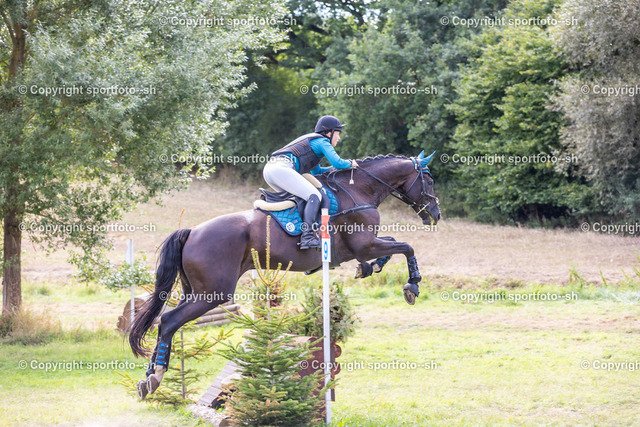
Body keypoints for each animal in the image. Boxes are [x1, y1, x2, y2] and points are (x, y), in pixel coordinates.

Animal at [129, 150, 441, 398]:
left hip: (195, 291)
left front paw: (370, 267)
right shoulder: (364, 245)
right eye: (429, 180)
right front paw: (412, 286)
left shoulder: (363, 247)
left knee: (166, 321)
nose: (435, 215)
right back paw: (156, 376)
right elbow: (407, 246)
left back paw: (148, 378)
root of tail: (191, 232)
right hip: (213, 293)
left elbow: (392, 245)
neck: (359, 191)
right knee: (168, 320)